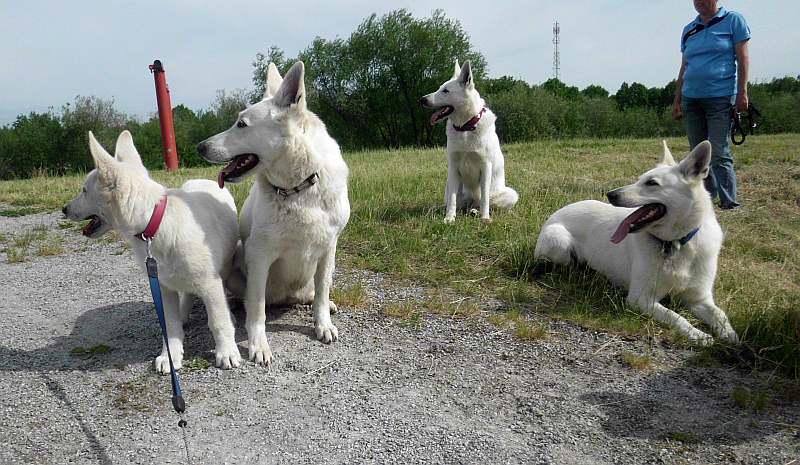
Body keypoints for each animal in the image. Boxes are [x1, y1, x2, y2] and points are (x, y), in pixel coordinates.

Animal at [198, 60, 350, 362]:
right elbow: (257, 310)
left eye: (241, 124)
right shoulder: (260, 256)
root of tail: (286, 299)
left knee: (315, 292)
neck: (298, 190)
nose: (200, 147)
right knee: (250, 300)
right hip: (238, 261)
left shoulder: (329, 249)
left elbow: (322, 293)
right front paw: (258, 345)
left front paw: (323, 323)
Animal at [418, 59, 520, 223]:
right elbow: (452, 202)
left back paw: (477, 212)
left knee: (485, 203)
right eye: (439, 88)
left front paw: (485, 218)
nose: (422, 100)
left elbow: (485, 199)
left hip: (510, 194)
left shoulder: (485, 166)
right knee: (456, 204)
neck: (465, 128)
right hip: (449, 187)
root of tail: (471, 202)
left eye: (445, 91)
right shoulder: (453, 167)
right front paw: (449, 219)